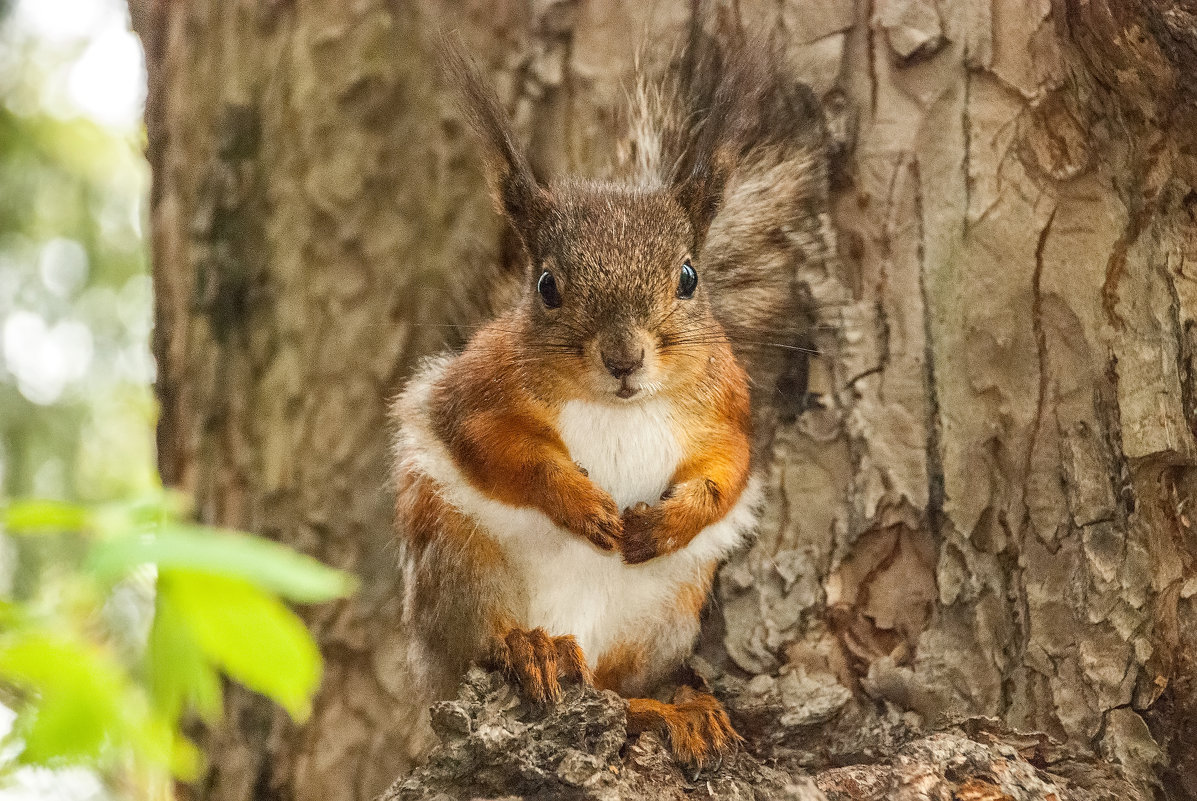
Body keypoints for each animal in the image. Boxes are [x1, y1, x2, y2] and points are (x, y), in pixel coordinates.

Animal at [390, 17, 823, 766]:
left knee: (617, 693)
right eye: (546, 286)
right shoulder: (476, 392)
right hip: (462, 568)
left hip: (665, 611)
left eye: (688, 276)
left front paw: (667, 521)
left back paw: (680, 708)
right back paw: (529, 648)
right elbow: (497, 448)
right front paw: (578, 500)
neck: (617, 407)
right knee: (487, 644)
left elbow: (729, 471)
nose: (624, 358)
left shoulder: (726, 409)